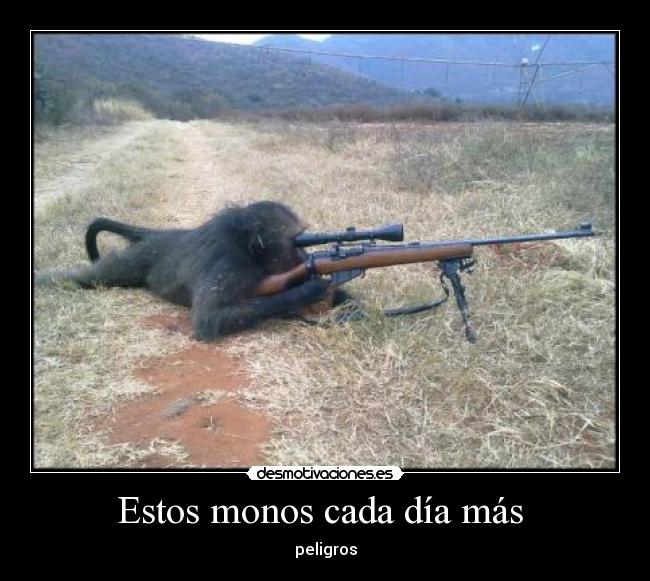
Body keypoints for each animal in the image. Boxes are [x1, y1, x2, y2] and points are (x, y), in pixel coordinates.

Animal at [36, 201, 357, 340]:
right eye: (297, 240)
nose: (306, 255)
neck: (248, 249)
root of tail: (161, 236)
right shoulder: (231, 264)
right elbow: (209, 318)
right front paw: (310, 290)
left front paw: (349, 304)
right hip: (137, 259)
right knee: (91, 277)